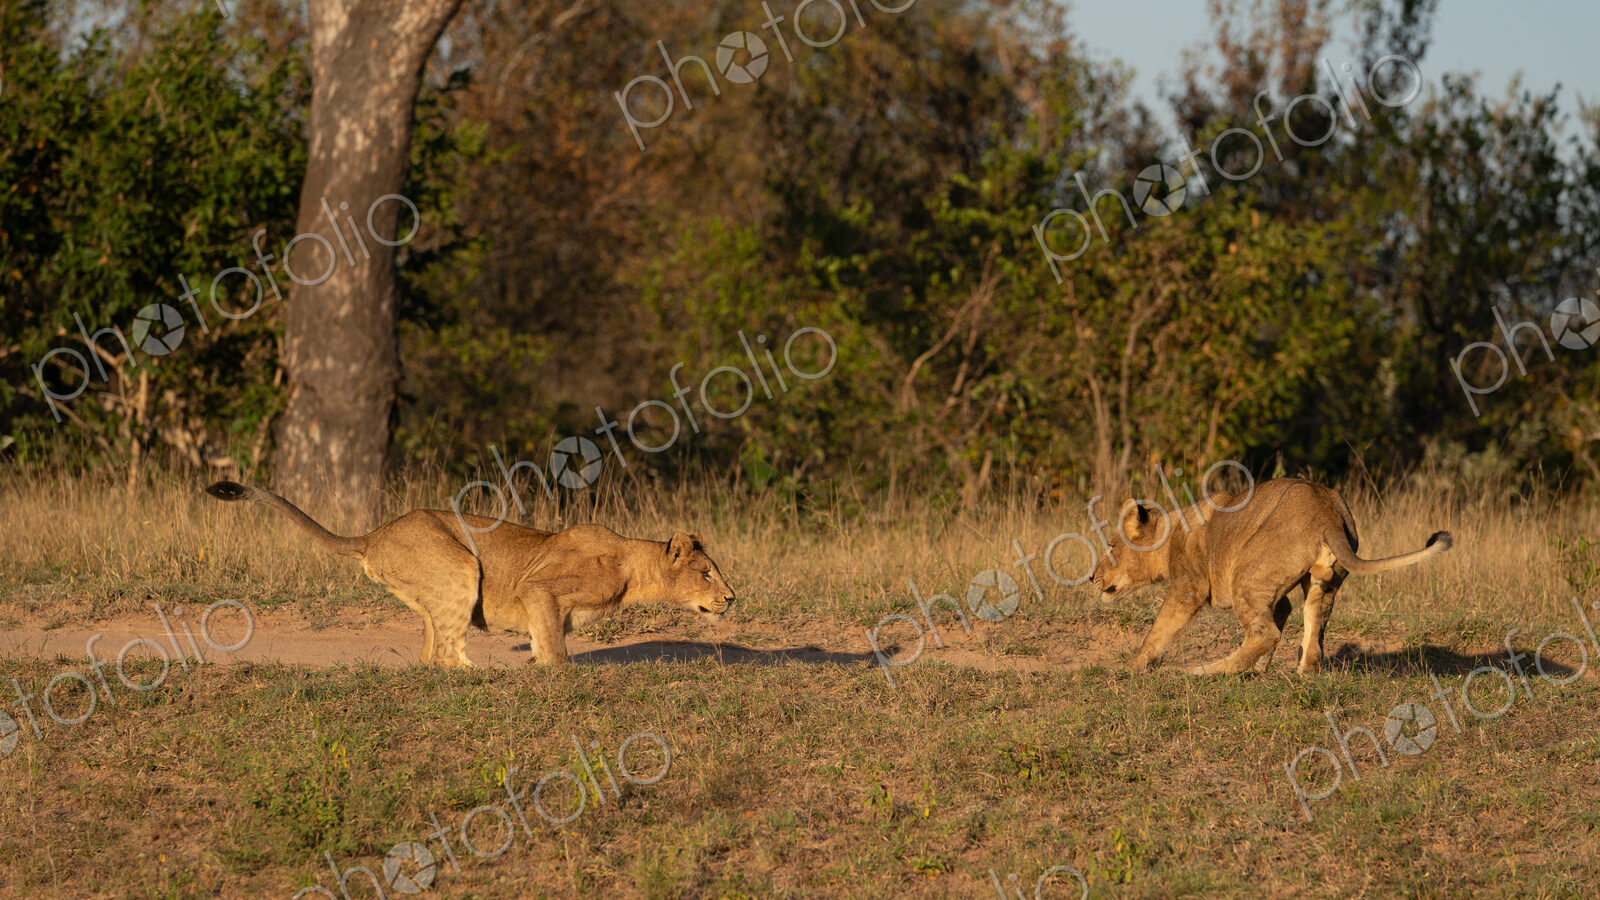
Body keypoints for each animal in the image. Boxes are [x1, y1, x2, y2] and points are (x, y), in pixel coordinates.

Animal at [203, 481, 736, 667]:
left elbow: (545, 641)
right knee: (447, 657)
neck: (630, 562)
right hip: (462, 566)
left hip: (431, 596)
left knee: (430, 655)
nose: (733, 599)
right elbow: (556, 653)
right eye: (707, 573)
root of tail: (375, 533)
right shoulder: (538, 586)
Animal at [1090, 477, 1451, 675]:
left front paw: (1134, 666)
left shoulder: (1189, 588)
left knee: (1265, 634)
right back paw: (1301, 671)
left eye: (1111, 545)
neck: (1171, 532)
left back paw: (1204, 671)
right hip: (1323, 582)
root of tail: (1327, 513)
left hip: (1246, 573)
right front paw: (1263, 666)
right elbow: (1283, 610)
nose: (1092, 576)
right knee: (1312, 631)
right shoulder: (1277, 592)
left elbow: (1159, 630)